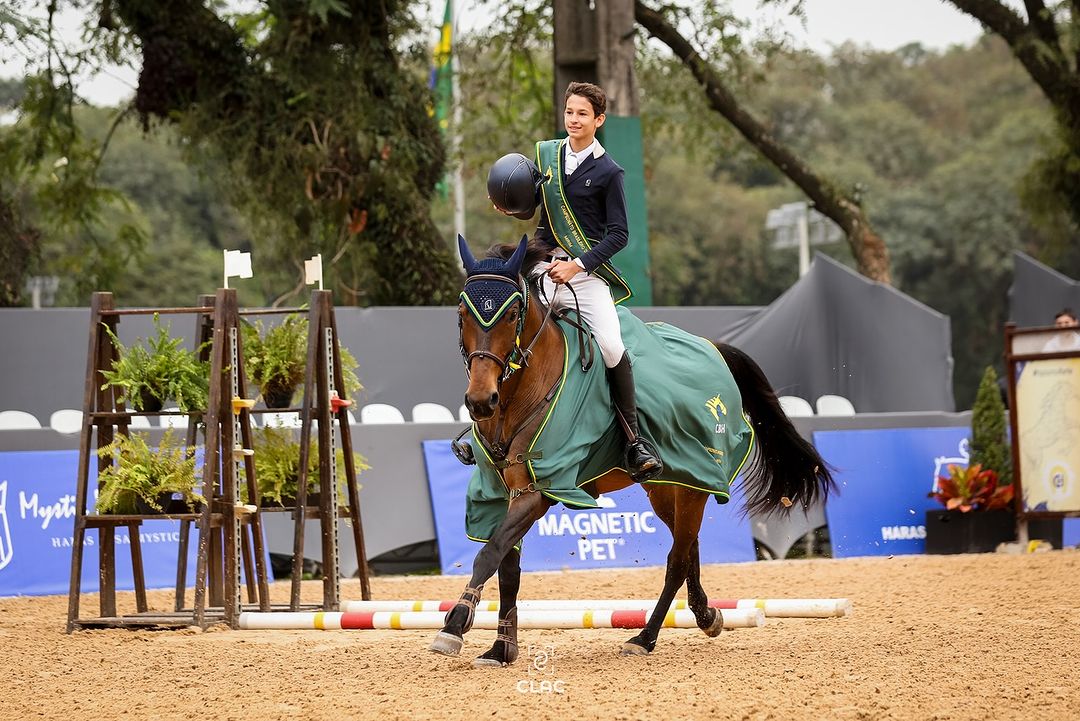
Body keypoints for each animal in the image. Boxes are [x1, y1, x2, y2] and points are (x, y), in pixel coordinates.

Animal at [429, 236, 833, 664]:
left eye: (510, 315)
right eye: (462, 315)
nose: (480, 401)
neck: (522, 394)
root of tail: (713, 348)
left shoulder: (542, 489)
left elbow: (489, 553)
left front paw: (454, 625)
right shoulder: (503, 491)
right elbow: (507, 567)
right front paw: (502, 647)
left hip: (696, 481)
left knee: (677, 559)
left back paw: (646, 636)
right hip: (667, 485)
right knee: (688, 548)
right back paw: (707, 615)